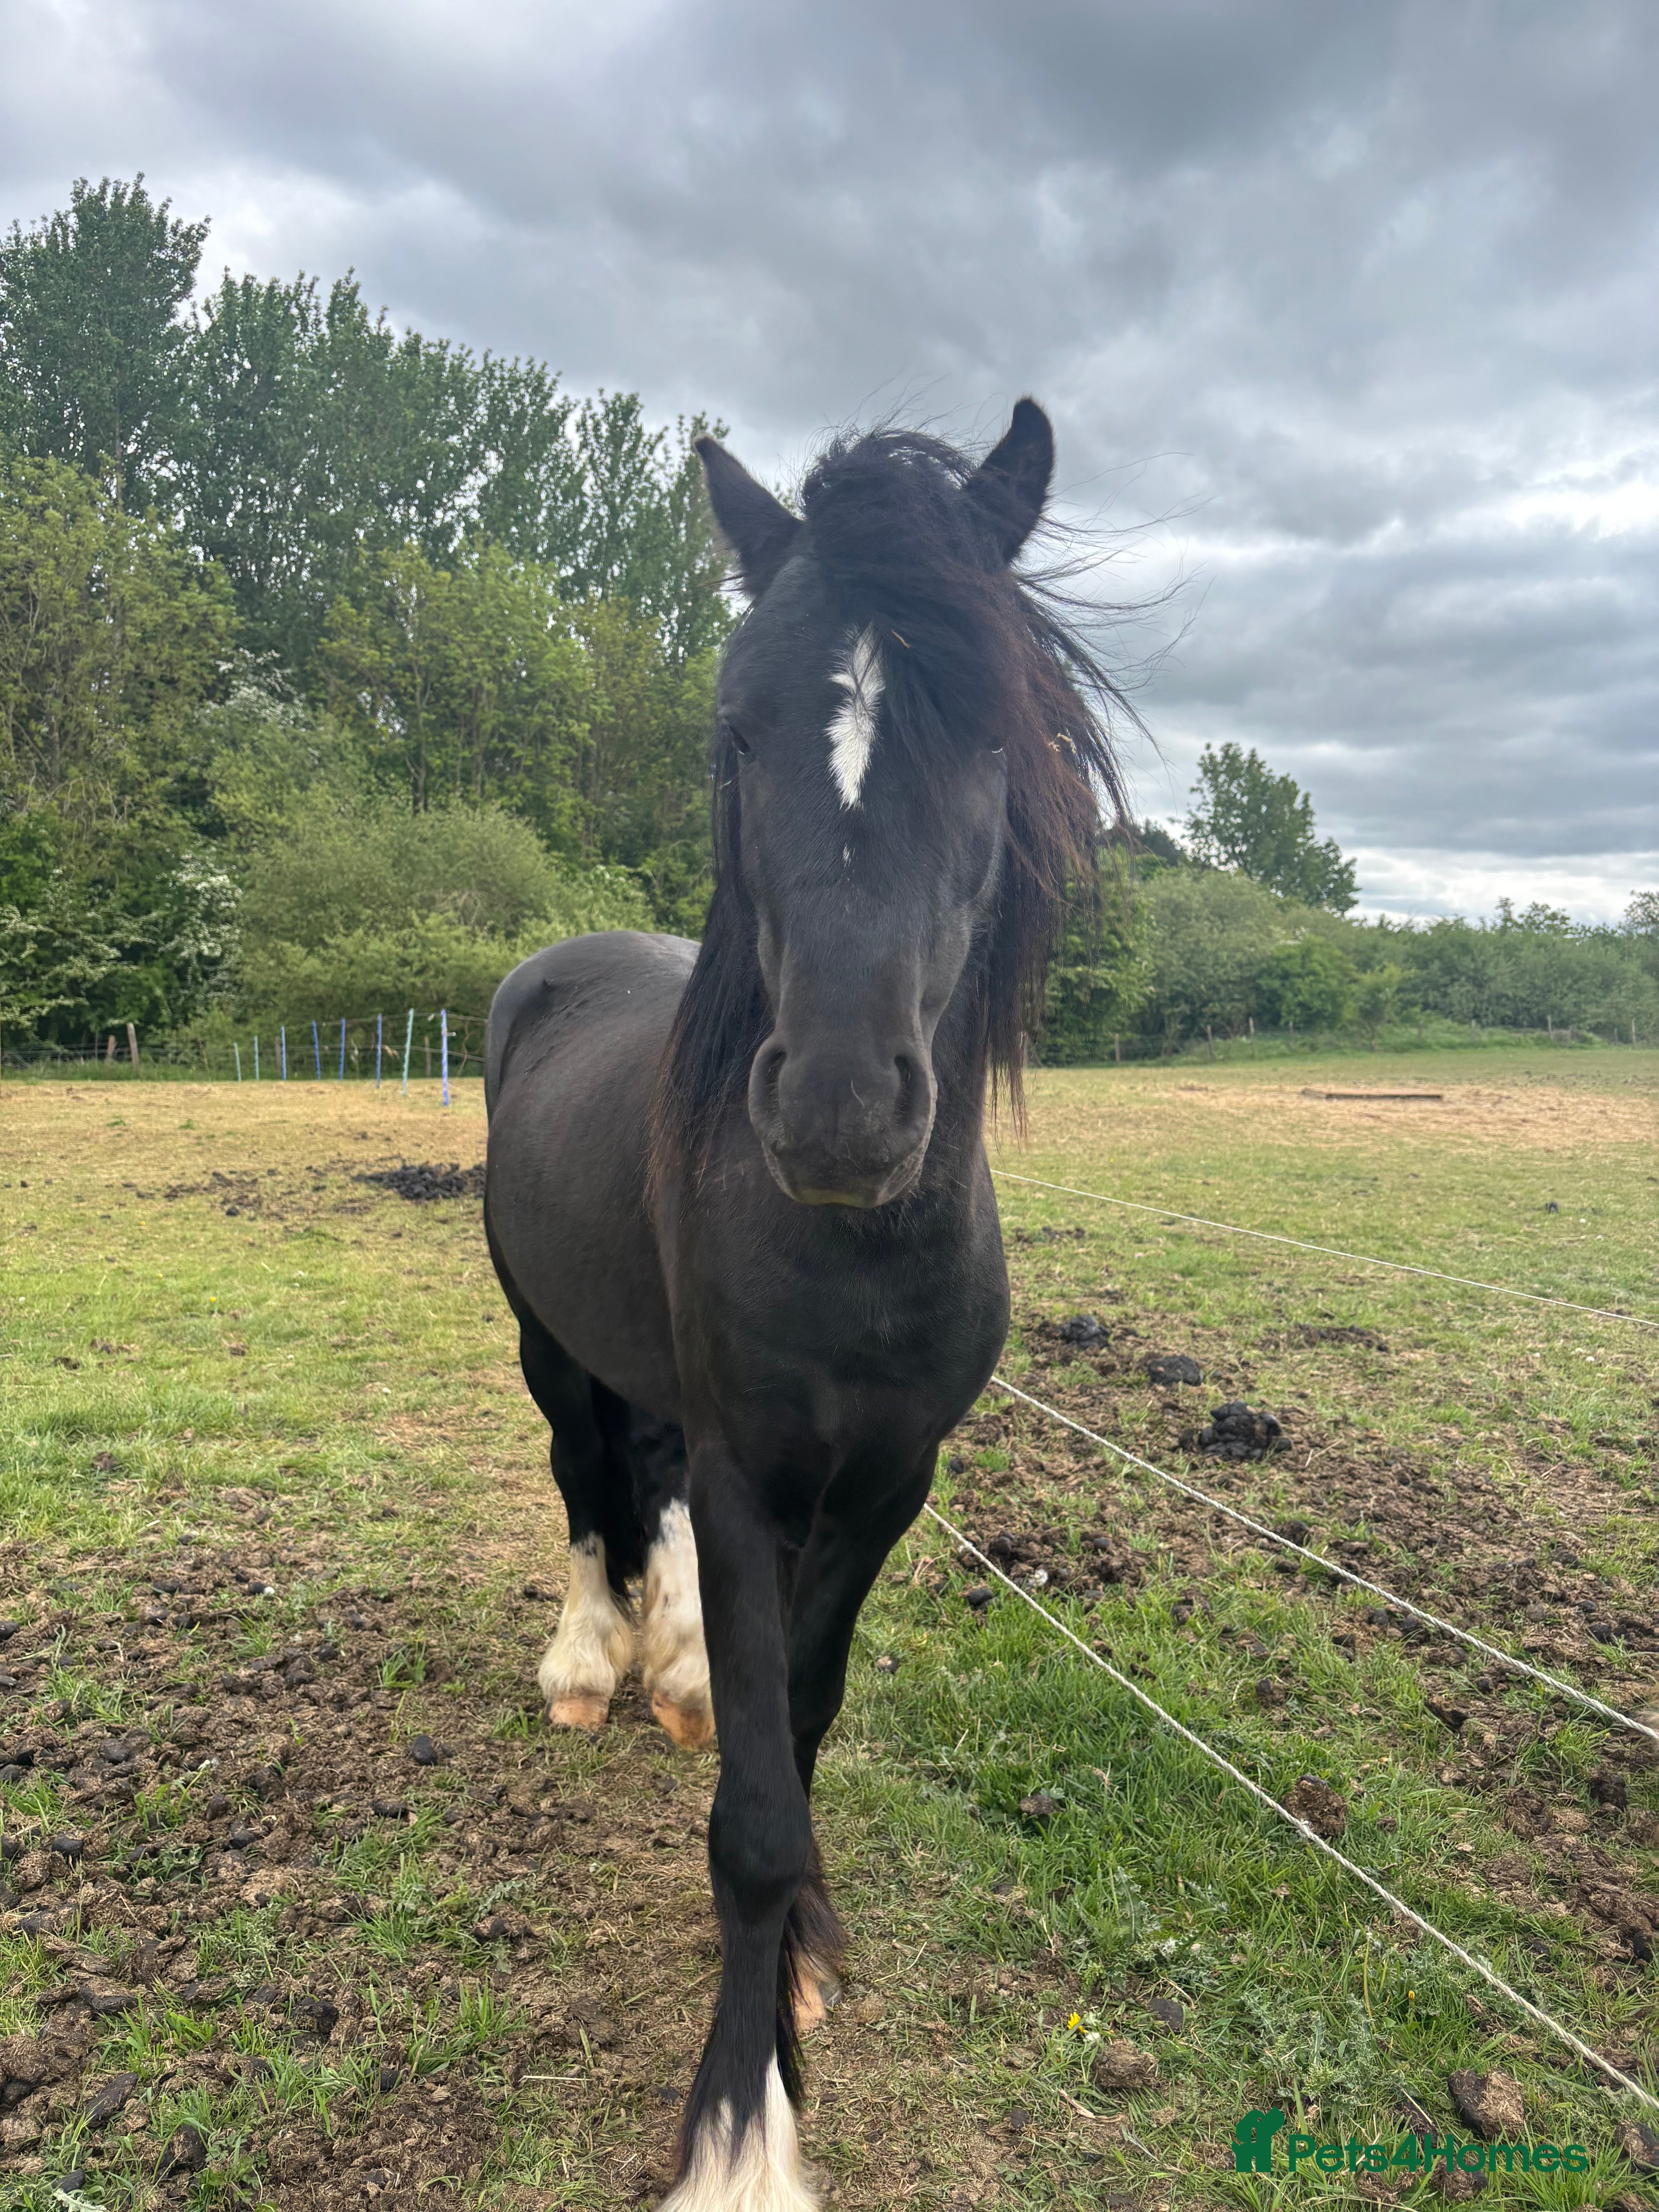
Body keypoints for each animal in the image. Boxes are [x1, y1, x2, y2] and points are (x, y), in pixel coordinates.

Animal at [483, 399, 1127, 2211]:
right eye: (736, 730)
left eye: (986, 728)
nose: (840, 1109)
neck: (850, 1258)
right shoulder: (747, 1465)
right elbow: (757, 1815)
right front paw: (738, 2127)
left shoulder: (883, 1485)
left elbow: (810, 1732)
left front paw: (800, 1969)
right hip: (549, 1343)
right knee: (585, 1483)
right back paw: (593, 1659)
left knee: (645, 1500)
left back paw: (677, 1665)